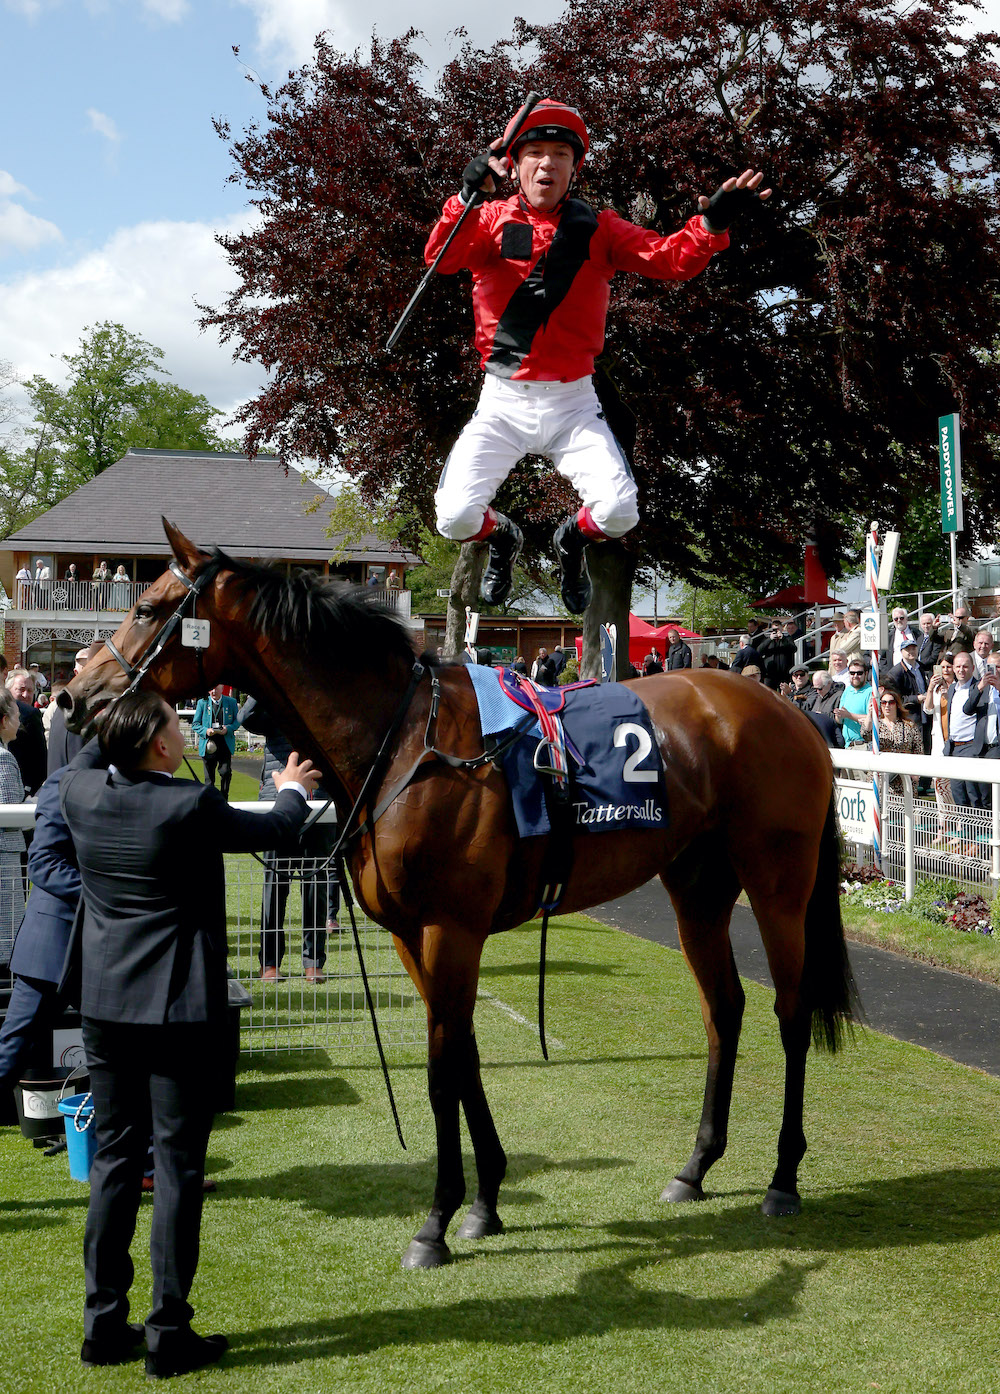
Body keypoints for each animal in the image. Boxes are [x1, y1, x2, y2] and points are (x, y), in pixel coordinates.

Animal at [62, 521, 859, 1265]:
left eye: (145, 606)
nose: (75, 695)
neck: (404, 744)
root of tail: (788, 713)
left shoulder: (451, 928)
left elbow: (443, 1072)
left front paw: (438, 1222)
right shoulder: (412, 934)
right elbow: (465, 1055)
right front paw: (485, 1202)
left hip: (779, 886)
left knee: (791, 1013)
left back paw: (783, 1179)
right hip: (696, 885)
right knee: (724, 1009)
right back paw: (695, 1167)